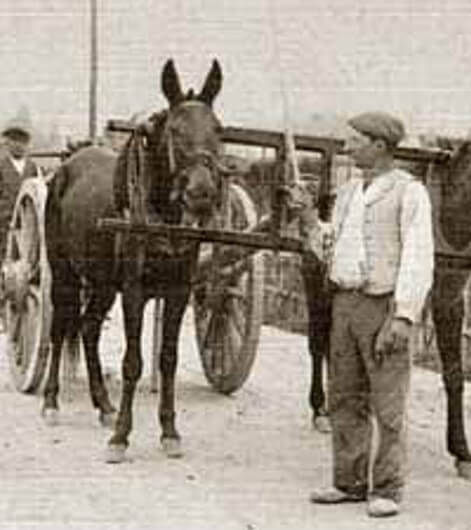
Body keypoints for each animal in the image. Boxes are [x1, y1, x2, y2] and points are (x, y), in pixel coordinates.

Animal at [41, 59, 226, 460]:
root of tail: (67, 164)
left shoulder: (178, 291)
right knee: (61, 326)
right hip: (64, 274)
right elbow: (133, 361)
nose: (202, 194)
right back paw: (51, 401)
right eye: (175, 130)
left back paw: (103, 405)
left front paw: (169, 431)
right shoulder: (134, 291)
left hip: (103, 284)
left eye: (218, 130)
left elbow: (168, 359)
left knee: (89, 327)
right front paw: (121, 437)